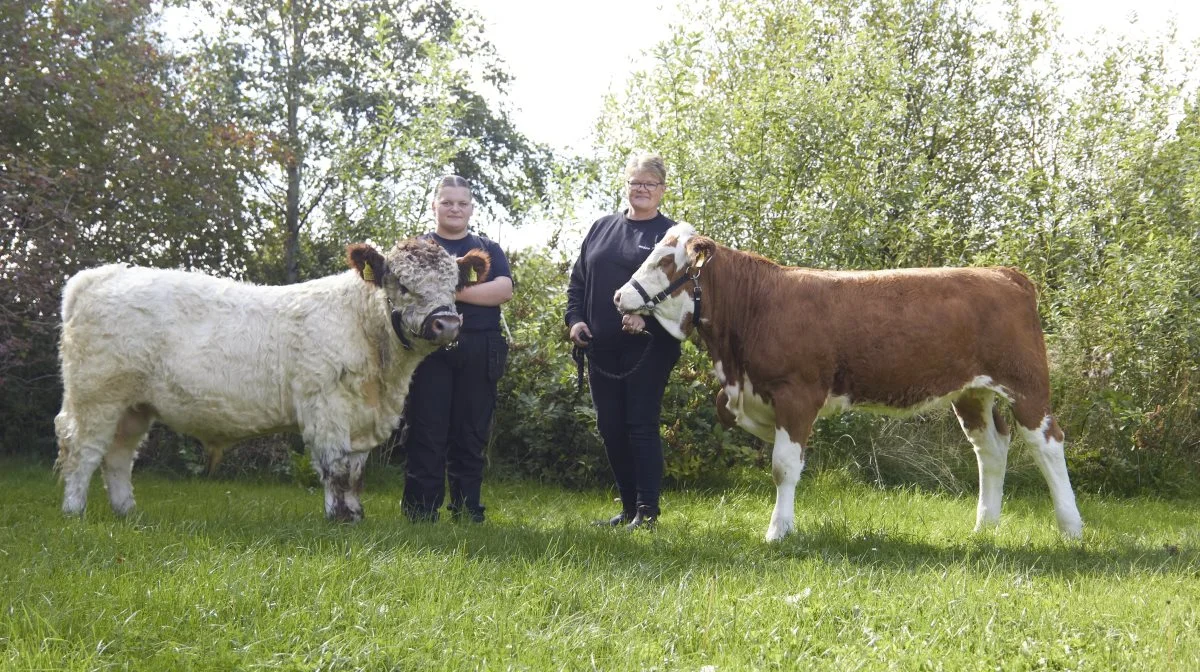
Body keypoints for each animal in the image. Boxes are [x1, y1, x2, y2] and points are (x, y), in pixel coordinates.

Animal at [55, 238, 487, 523]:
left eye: (455, 284)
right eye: (403, 284)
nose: (447, 323)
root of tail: (102, 275)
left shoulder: (363, 418)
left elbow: (356, 471)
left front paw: (356, 514)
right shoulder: (326, 407)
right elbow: (336, 468)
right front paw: (339, 519)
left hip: (135, 405)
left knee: (118, 456)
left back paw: (127, 512)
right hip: (97, 395)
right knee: (84, 451)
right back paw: (74, 512)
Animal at [619, 223, 1089, 542]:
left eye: (666, 261)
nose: (619, 296)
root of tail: (1005, 273)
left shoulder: (797, 392)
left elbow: (783, 466)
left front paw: (778, 530)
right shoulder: (750, 394)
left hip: (1026, 384)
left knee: (1048, 443)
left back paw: (1071, 527)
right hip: (972, 392)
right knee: (990, 449)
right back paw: (984, 526)